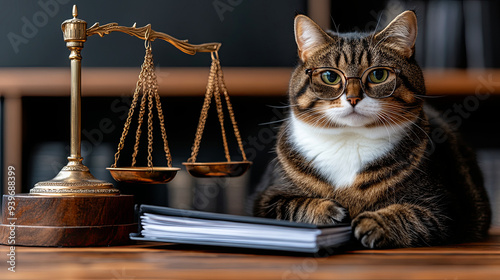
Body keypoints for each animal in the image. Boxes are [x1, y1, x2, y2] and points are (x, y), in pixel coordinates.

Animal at [252, 10, 490, 248]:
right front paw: (327, 210)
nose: (353, 98)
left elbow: (411, 215)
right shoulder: (264, 199)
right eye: (330, 76)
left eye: (378, 75)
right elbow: (292, 205)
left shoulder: (443, 208)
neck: (349, 140)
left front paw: (374, 223)